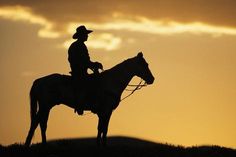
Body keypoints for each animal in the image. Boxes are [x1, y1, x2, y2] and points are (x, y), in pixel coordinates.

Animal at [25, 52, 155, 147]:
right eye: (145, 65)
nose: (152, 79)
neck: (112, 81)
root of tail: (38, 81)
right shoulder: (107, 111)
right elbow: (104, 128)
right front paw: (103, 145)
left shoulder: (103, 112)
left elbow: (100, 128)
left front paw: (98, 144)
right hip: (45, 106)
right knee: (36, 122)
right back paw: (29, 143)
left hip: (46, 106)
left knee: (42, 123)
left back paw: (43, 144)